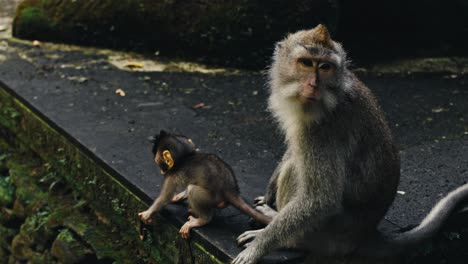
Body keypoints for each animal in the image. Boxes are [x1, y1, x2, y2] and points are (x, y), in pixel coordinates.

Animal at [138, 130, 270, 239]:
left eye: (157, 162)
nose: (162, 171)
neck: (185, 157)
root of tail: (231, 189)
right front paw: (180, 195)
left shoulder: (172, 176)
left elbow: (165, 198)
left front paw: (147, 214)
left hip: (211, 198)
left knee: (193, 189)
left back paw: (202, 220)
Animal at [234, 23, 468, 262]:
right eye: (306, 63)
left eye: (325, 67)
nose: (313, 84)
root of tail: (365, 234)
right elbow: (294, 152)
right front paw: (269, 192)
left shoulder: (322, 130)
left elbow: (320, 198)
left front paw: (258, 247)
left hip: (327, 234)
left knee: (297, 174)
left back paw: (285, 235)